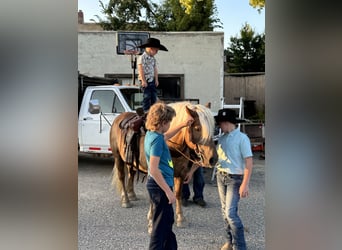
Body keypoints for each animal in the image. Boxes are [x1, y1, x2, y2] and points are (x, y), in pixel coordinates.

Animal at [109, 100, 218, 229]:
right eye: (197, 128)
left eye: (213, 129)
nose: (213, 159)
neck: (172, 146)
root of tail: (120, 117)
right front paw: (151, 218)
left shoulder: (180, 174)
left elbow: (177, 194)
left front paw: (180, 218)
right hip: (118, 157)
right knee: (122, 177)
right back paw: (126, 200)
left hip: (131, 161)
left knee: (131, 174)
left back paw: (131, 194)